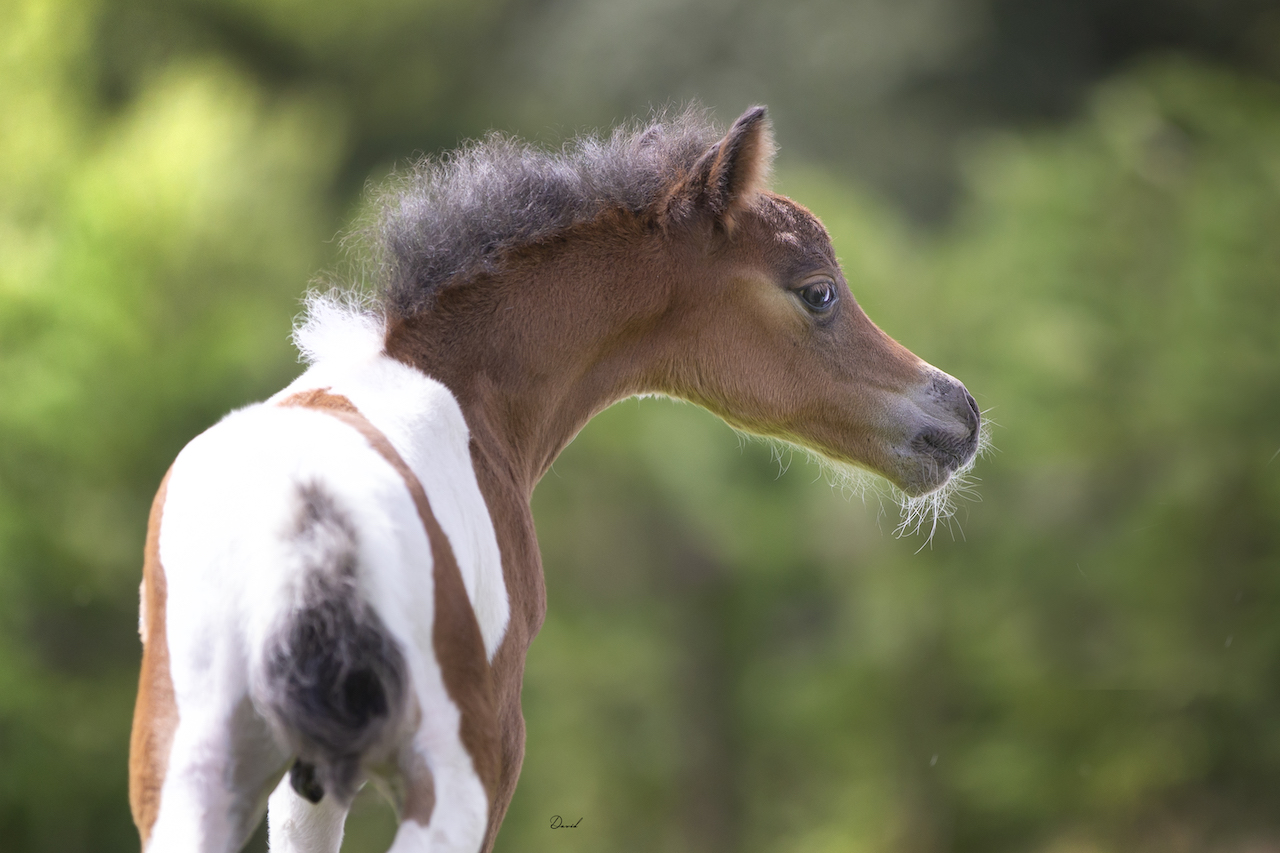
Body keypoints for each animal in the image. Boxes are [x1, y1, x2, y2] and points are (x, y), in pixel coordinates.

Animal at [128, 106, 982, 852]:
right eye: (819, 291)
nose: (961, 413)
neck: (458, 387)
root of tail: (307, 517)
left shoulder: (299, 791)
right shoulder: (494, 755)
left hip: (188, 778)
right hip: (457, 773)